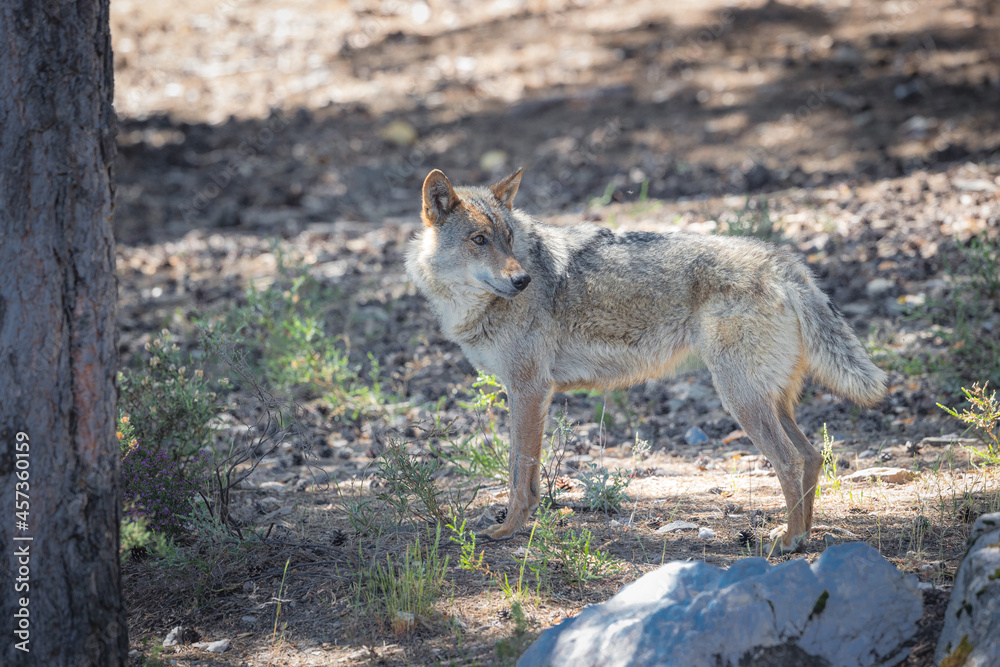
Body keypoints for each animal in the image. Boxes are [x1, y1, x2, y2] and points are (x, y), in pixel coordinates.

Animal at [406, 168, 886, 552]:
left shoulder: (529, 389)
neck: (469, 307)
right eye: (480, 240)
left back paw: (789, 542)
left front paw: (508, 532)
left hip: (741, 400)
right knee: (812, 457)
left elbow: (518, 476)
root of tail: (785, 263)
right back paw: (803, 536)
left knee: (789, 461)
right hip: (772, 400)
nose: (522, 280)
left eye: (508, 240)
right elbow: (526, 474)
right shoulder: (525, 393)